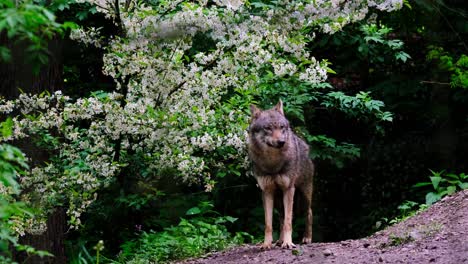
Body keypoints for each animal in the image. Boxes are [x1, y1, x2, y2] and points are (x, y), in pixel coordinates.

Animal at [245, 99, 314, 250]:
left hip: (303, 196)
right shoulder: (267, 192)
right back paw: (280, 241)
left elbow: (289, 221)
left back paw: (307, 238)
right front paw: (267, 244)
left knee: (309, 213)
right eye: (268, 128)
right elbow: (269, 224)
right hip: (278, 200)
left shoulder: (288, 189)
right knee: (281, 218)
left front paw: (288, 243)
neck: (272, 163)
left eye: (281, 127)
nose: (281, 142)